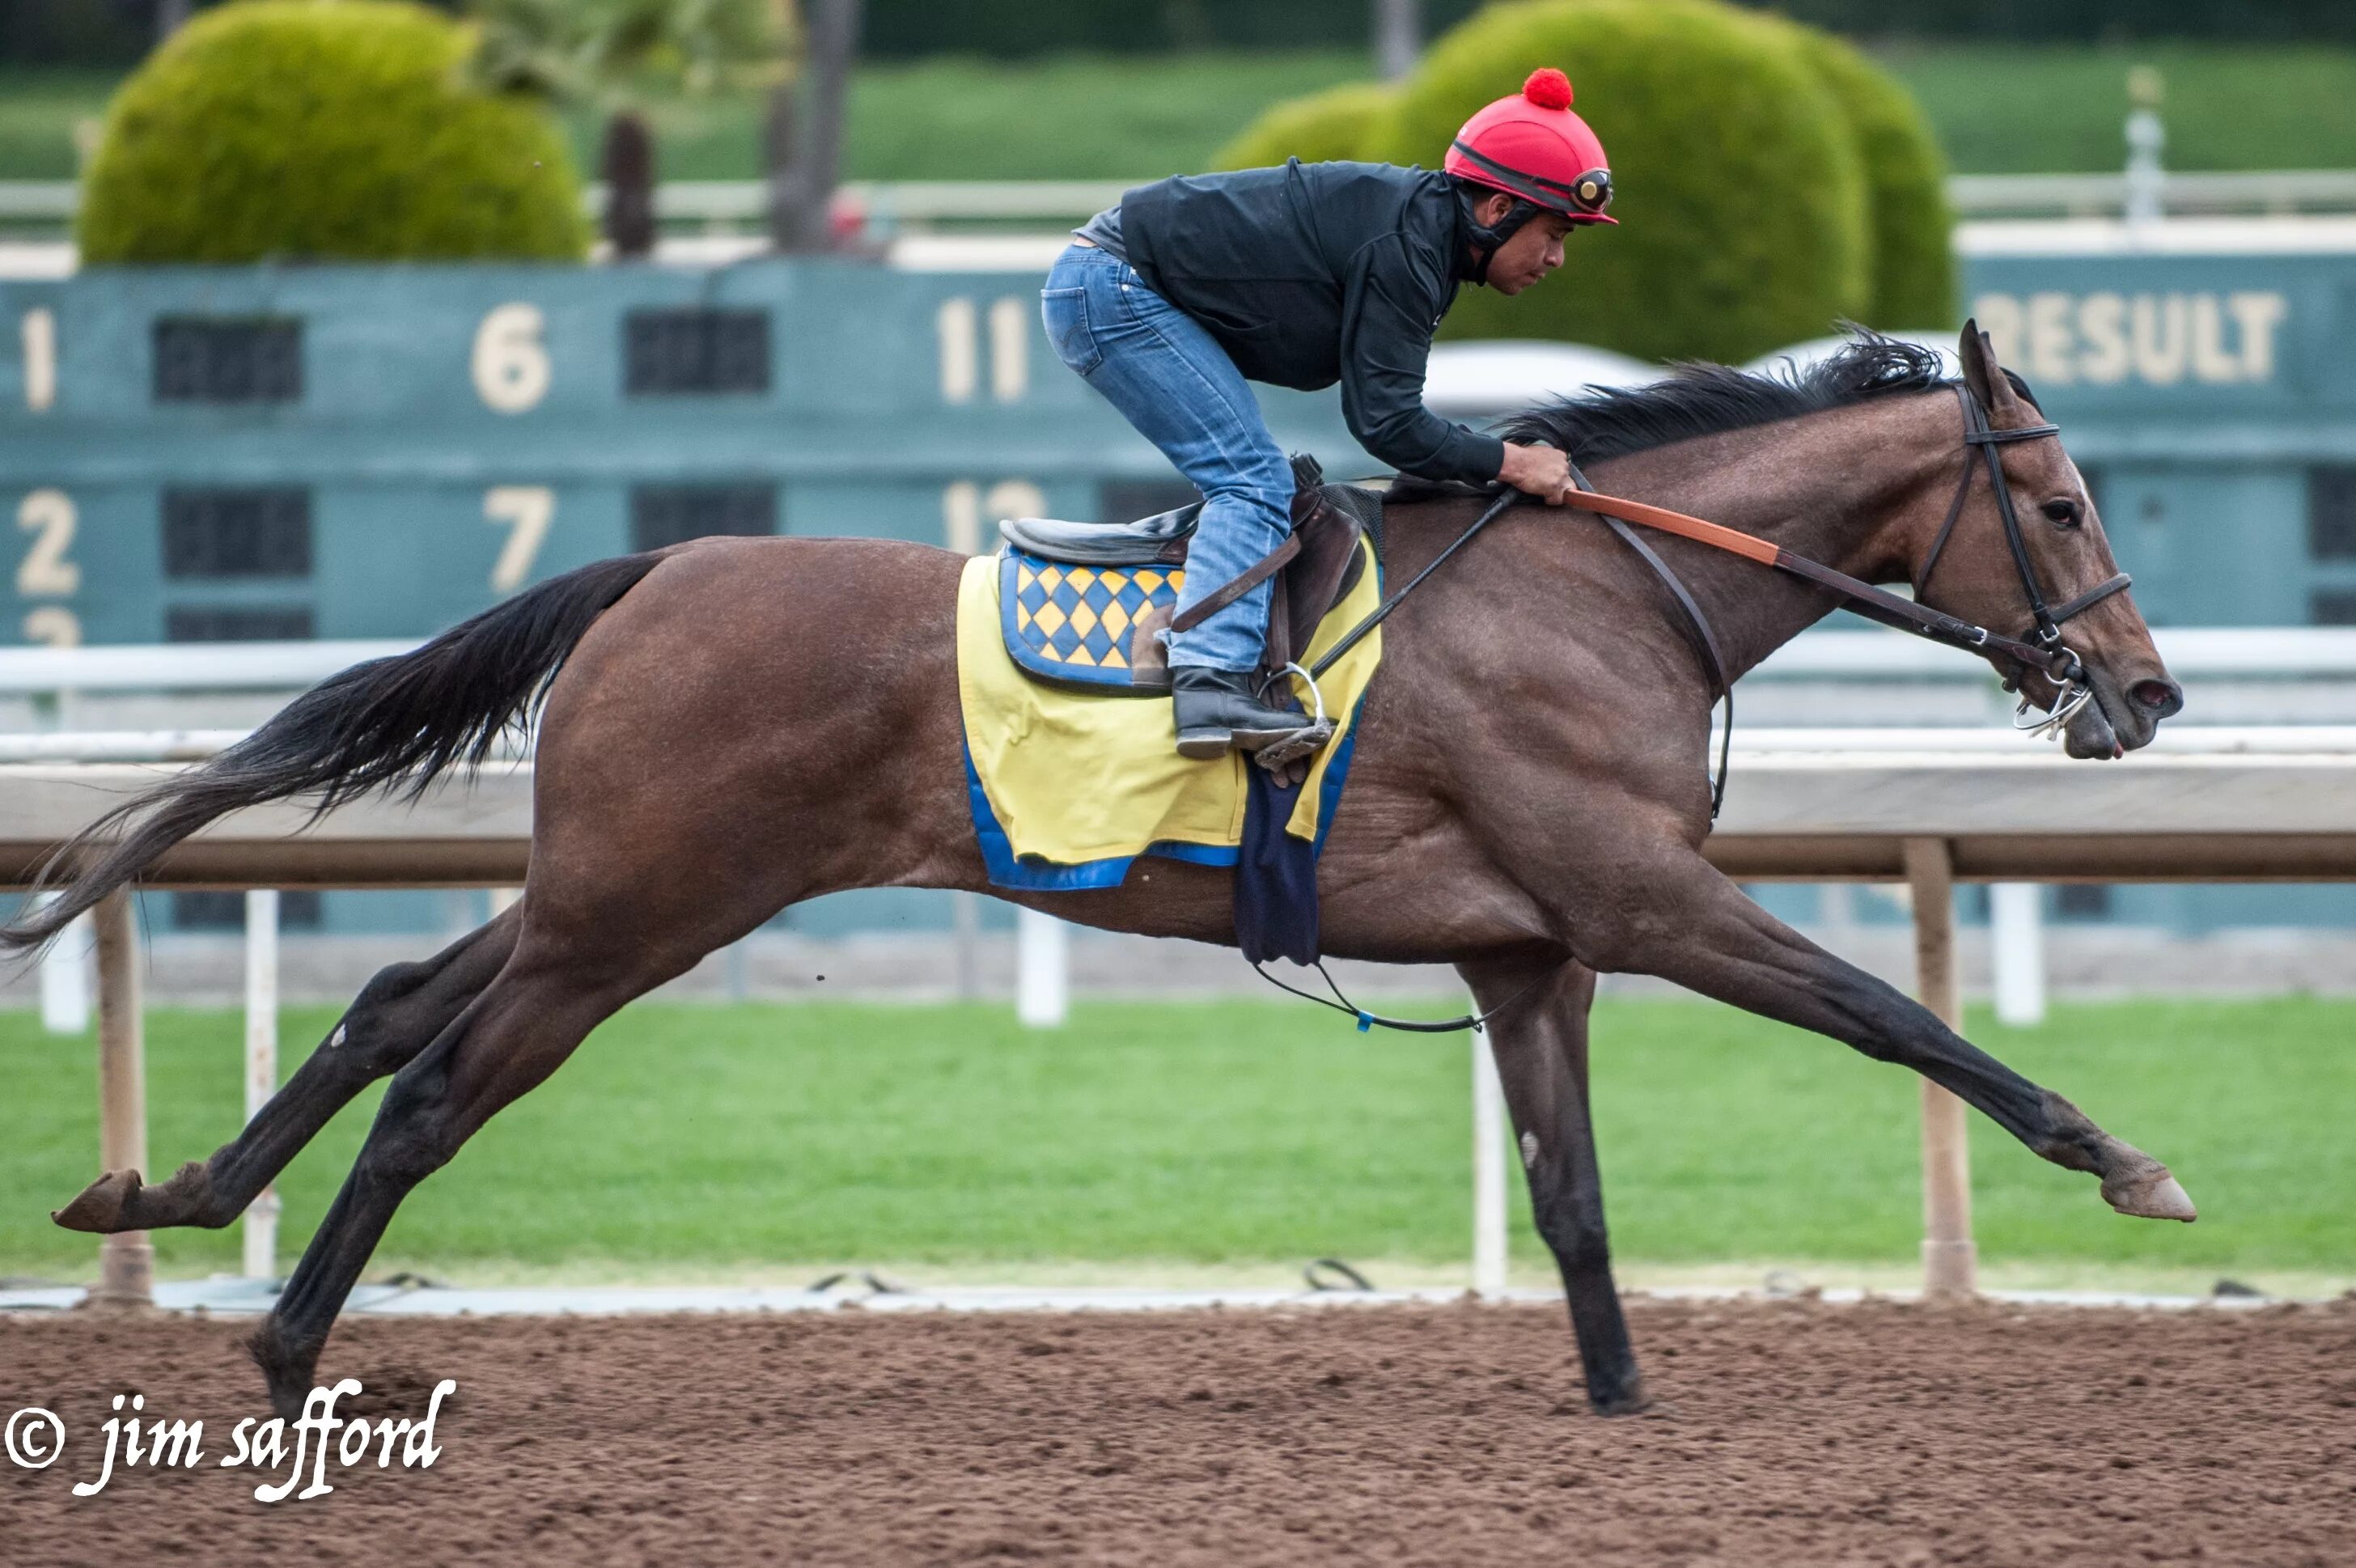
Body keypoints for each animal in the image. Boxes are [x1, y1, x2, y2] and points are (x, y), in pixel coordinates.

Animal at [9, 322, 2195, 1412]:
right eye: (2063, 500)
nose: (2150, 690)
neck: (1610, 593)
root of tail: (660, 560)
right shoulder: (1648, 900)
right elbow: (1897, 1013)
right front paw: (2129, 1160)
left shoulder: (1530, 948)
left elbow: (1572, 1198)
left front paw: (1622, 1405)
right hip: (645, 906)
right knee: (440, 1084)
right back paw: (288, 1346)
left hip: (605, 888)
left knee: (394, 1003)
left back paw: (174, 1193)